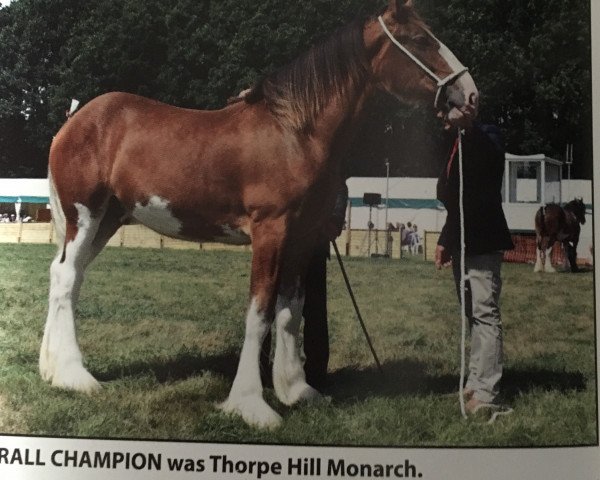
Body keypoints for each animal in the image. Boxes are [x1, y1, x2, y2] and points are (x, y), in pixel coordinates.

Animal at [39, 0, 478, 428]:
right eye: (419, 39)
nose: (470, 96)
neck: (295, 133)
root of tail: (74, 121)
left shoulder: (303, 236)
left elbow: (289, 313)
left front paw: (296, 390)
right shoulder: (271, 231)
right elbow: (260, 312)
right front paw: (252, 405)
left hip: (107, 220)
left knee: (68, 278)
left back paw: (52, 369)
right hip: (86, 215)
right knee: (66, 277)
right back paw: (76, 376)